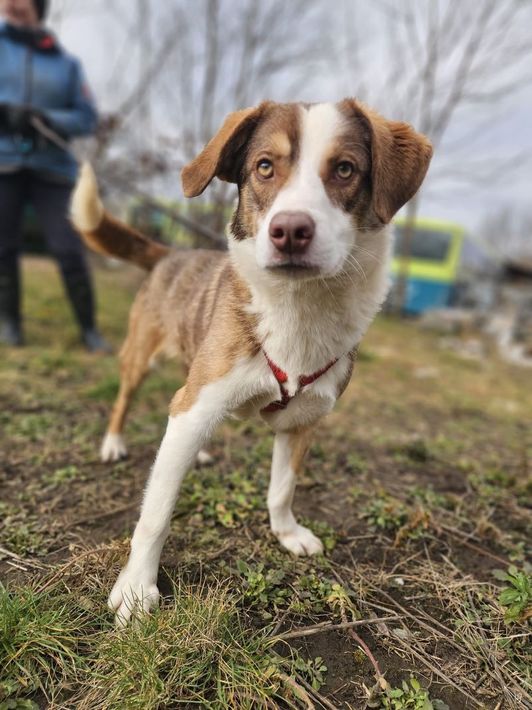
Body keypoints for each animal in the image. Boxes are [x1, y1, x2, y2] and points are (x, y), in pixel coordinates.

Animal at [71, 99, 432, 625]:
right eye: (264, 167)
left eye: (345, 169)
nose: (291, 231)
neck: (299, 309)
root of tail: (170, 253)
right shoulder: (195, 406)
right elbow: (156, 511)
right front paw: (137, 587)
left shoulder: (303, 420)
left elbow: (282, 488)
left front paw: (287, 533)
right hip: (142, 358)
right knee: (124, 400)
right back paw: (115, 442)